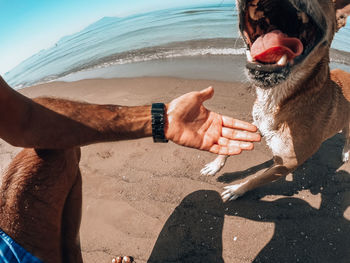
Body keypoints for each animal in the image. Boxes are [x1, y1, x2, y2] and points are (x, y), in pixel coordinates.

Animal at [201, 0, 350, 202]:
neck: (279, 100)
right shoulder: (256, 124)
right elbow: (231, 146)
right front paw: (216, 165)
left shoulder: (287, 164)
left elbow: (255, 179)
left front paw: (237, 190)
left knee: (348, 138)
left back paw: (346, 153)